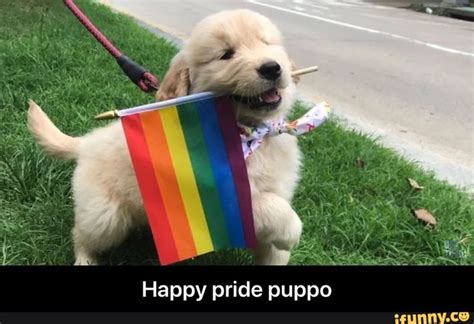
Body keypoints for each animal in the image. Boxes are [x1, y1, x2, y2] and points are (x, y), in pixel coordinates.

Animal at [27, 8, 302, 264]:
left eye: (267, 43)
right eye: (226, 54)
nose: (272, 68)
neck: (252, 132)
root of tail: (88, 141)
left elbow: (274, 245)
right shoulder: (215, 202)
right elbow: (273, 208)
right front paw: (292, 231)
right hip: (105, 214)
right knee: (81, 234)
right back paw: (86, 259)